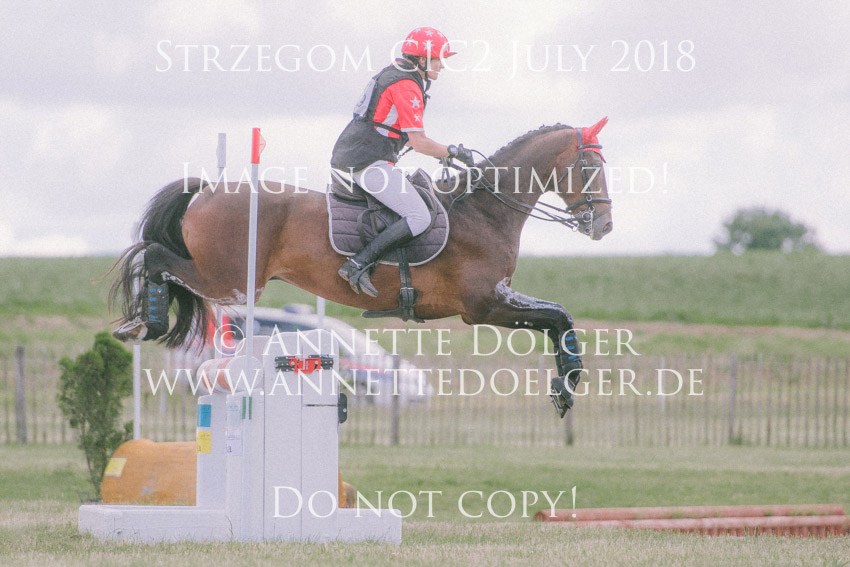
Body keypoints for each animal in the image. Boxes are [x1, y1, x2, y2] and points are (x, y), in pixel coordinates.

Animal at [111, 118, 613, 416]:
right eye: (590, 166)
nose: (604, 225)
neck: (485, 210)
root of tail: (211, 189)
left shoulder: (494, 301)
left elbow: (557, 317)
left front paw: (565, 384)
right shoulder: (484, 305)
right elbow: (559, 316)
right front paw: (567, 385)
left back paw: (144, 320)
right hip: (231, 281)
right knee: (153, 257)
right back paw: (146, 321)